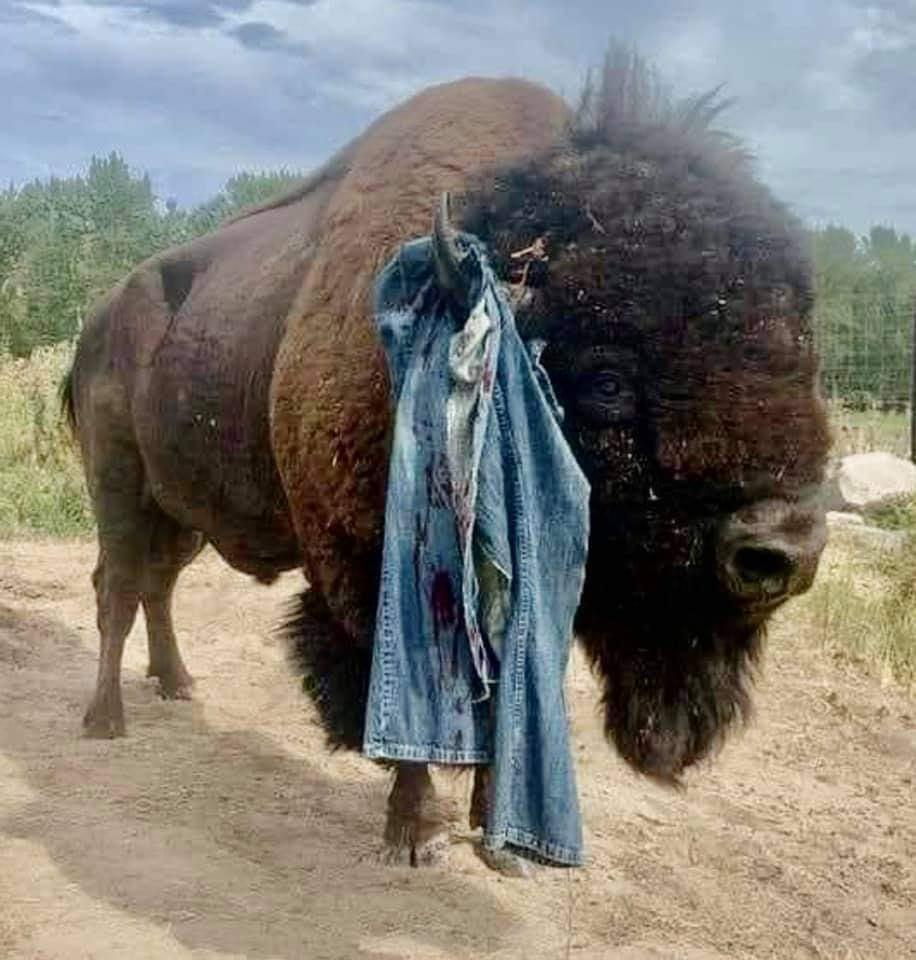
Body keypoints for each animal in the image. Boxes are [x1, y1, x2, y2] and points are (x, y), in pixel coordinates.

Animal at [63, 53, 831, 867]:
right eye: (608, 380)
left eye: (804, 360)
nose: (781, 553)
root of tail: (97, 319)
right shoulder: (376, 570)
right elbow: (411, 699)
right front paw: (417, 833)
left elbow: (513, 698)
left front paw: (499, 835)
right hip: (118, 486)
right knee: (117, 587)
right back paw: (106, 719)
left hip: (182, 511)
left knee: (156, 585)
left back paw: (177, 683)